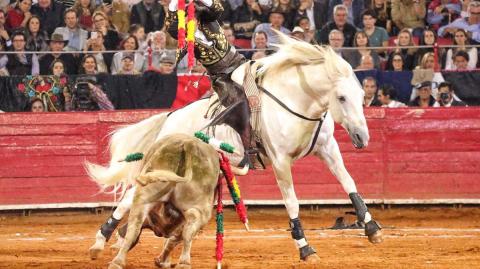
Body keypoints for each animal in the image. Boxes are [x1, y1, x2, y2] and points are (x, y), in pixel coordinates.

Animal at [108, 133, 220, 266]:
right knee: (187, 232)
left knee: (133, 229)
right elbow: (174, 239)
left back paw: (117, 261)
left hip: (145, 197)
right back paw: (183, 263)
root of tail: (189, 144)